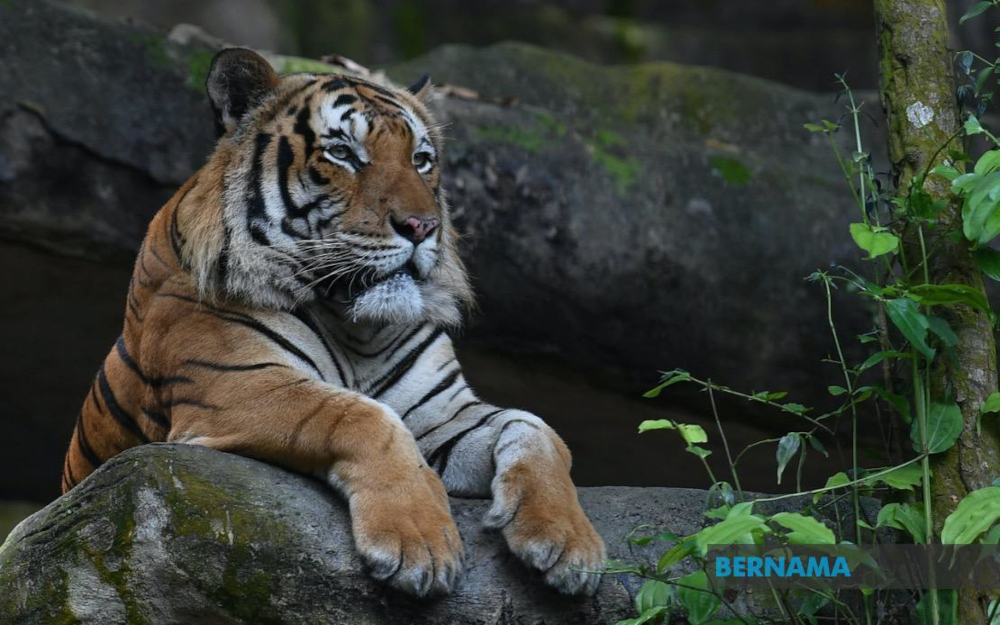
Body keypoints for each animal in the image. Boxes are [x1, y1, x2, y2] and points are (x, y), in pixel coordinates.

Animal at [60, 47, 605, 597]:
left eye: (421, 160)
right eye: (343, 153)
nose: (423, 226)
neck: (357, 326)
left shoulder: (441, 411)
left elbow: (536, 427)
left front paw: (568, 542)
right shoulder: (239, 385)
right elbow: (364, 416)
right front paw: (421, 545)